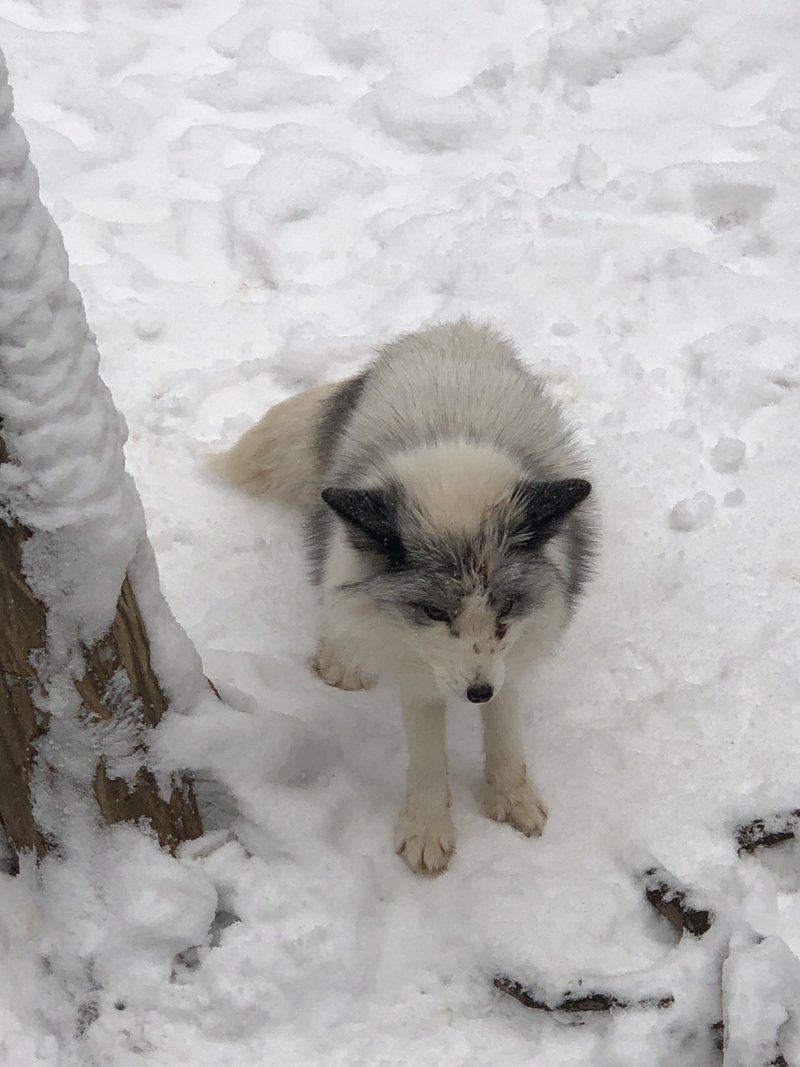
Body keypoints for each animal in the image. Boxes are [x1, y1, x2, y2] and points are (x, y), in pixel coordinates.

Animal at [210, 317, 597, 874]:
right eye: (433, 611)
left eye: (505, 607)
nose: (477, 691)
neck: (454, 449)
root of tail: (449, 327)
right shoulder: (412, 661)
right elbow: (426, 753)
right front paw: (427, 827)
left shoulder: (516, 648)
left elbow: (505, 730)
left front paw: (511, 797)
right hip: (338, 526)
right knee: (333, 584)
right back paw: (340, 653)